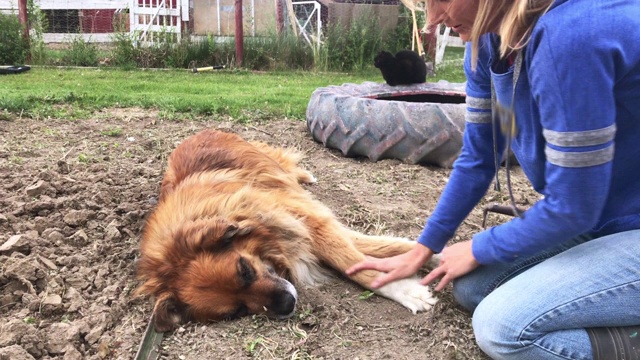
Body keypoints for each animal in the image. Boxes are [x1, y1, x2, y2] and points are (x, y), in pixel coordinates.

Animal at [134, 129, 436, 332]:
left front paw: (411, 283)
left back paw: (305, 175)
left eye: (244, 269)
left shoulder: (305, 221)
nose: (287, 304)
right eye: (237, 311)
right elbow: (369, 249)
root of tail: (199, 132)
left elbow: (354, 262)